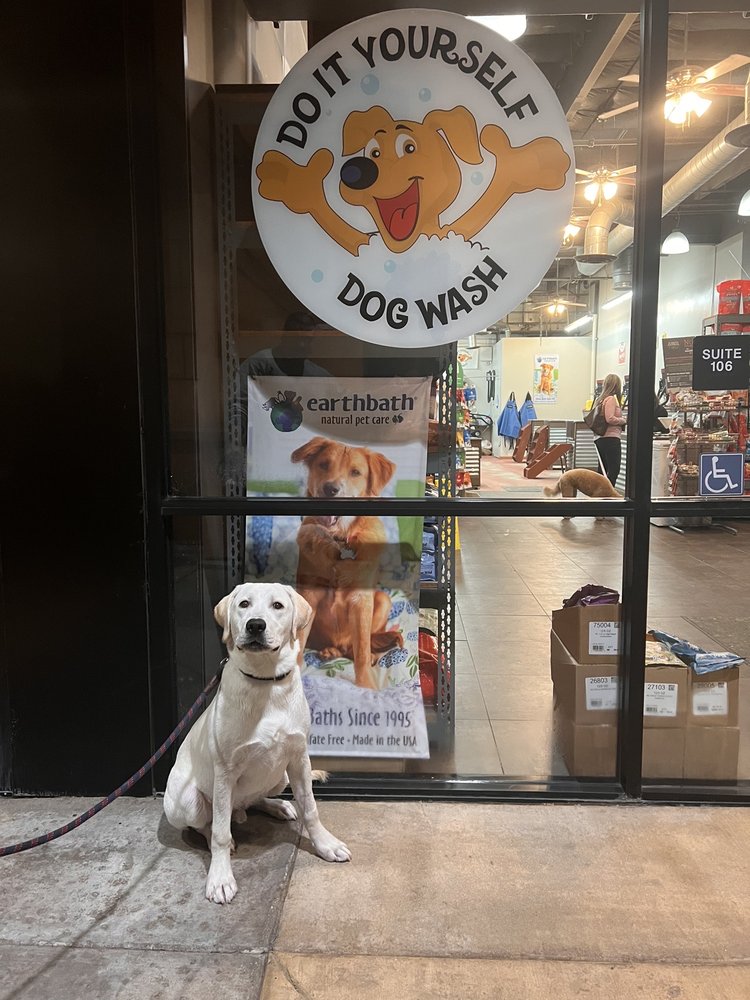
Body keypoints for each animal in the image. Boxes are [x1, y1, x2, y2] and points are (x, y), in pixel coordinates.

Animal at [163, 582, 351, 904]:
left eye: (277, 606)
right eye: (244, 604)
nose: (255, 625)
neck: (266, 682)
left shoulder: (299, 758)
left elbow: (311, 808)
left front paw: (326, 844)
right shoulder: (225, 771)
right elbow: (220, 834)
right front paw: (220, 878)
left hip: (280, 775)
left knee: (252, 800)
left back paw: (279, 806)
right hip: (187, 801)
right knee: (207, 824)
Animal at [291, 436, 403, 689]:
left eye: (355, 472)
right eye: (323, 465)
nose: (330, 489)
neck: (339, 539)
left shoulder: (361, 601)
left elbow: (361, 650)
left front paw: (367, 687)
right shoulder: (309, 593)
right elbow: (300, 641)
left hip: (382, 600)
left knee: (357, 645)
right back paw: (329, 650)